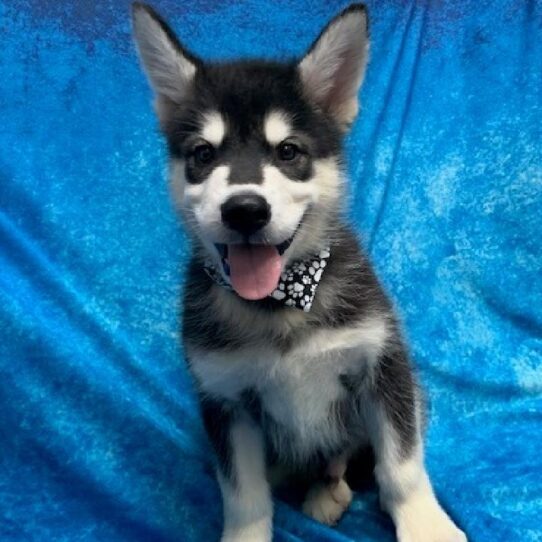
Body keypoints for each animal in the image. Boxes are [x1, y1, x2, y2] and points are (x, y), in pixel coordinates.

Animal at [132, 5, 468, 542]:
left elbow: (401, 465)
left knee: (349, 458)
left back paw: (331, 491)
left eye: (288, 151)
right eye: (203, 155)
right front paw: (246, 533)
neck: (280, 304)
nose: (245, 210)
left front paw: (424, 524)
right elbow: (244, 495)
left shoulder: (383, 366)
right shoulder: (225, 400)